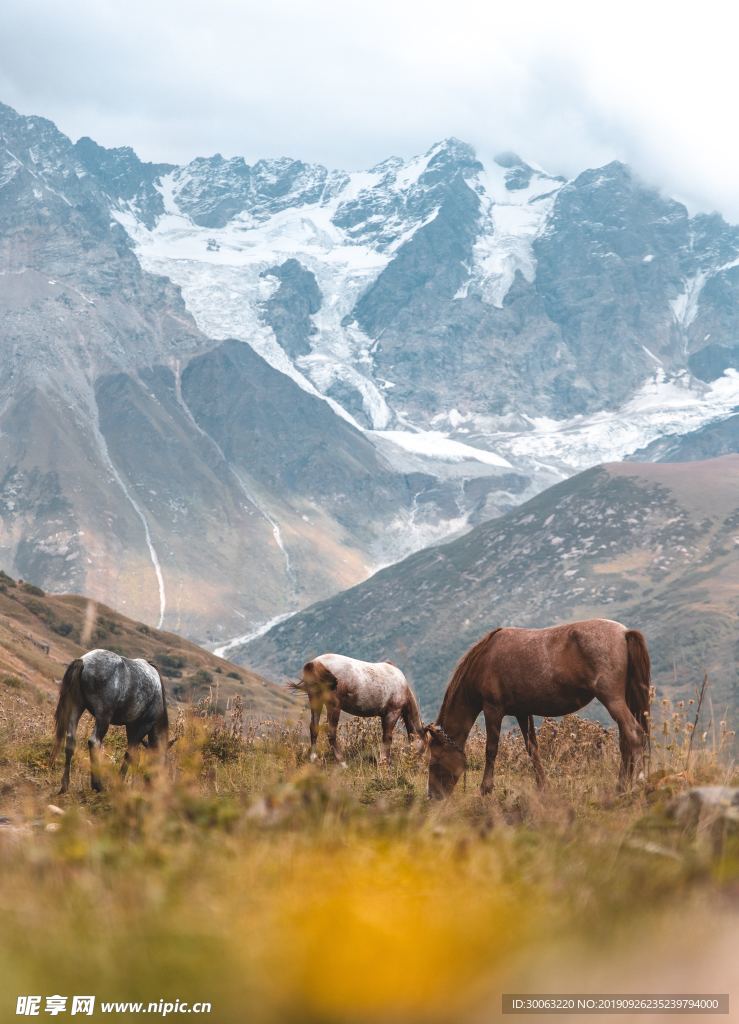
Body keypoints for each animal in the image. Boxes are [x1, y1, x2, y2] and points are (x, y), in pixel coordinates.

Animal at [51, 651, 168, 794]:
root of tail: (83, 661)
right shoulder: (142, 726)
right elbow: (130, 755)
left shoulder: (131, 727)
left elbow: (134, 757)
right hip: (103, 716)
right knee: (94, 742)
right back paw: (98, 785)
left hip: (76, 706)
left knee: (70, 740)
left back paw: (65, 785)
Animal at [290, 651, 423, 765]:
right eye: (424, 747)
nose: (420, 765)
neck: (402, 686)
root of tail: (315, 663)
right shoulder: (392, 713)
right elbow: (387, 737)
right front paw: (385, 761)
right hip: (334, 706)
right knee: (331, 733)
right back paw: (342, 762)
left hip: (316, 701)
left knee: (314, 728)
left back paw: (313, 758)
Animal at [423, 614, 646, 798]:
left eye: (433, 762)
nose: (432, 796)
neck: (484, 660)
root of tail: (624, 632)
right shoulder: (523, 713)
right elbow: (532, 748)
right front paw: (542, 786)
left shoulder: (493, 709)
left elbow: (491, 749)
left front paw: (486, 789)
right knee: (625, 740)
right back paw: (621, 786)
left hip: (612, 699)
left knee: (634, 733)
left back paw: (634, 785)